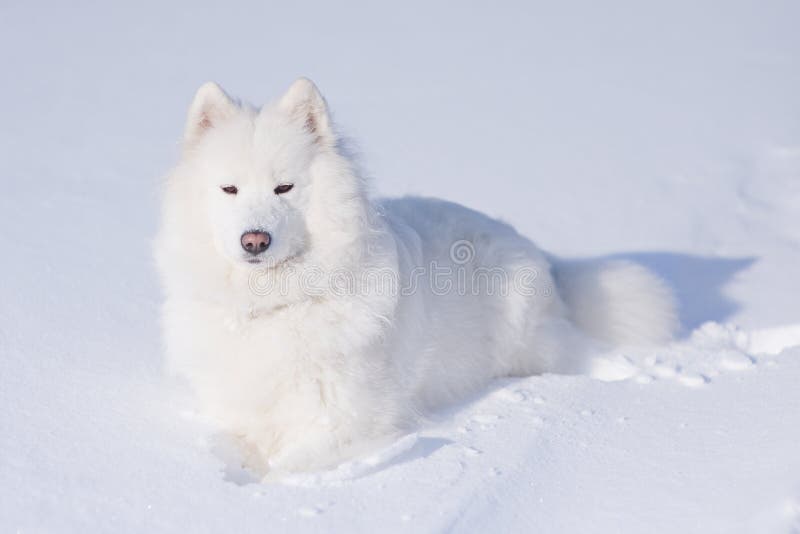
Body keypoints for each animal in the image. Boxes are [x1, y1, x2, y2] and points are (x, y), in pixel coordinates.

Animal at [156, 78, 676, 478]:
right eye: (229, 189)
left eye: (284, 187)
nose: (255, 240)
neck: (274, 306)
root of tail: (537, 251)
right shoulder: (236, 411)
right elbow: (239, 444)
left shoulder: (352, 421)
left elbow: (289, 464)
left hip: (524, 341)